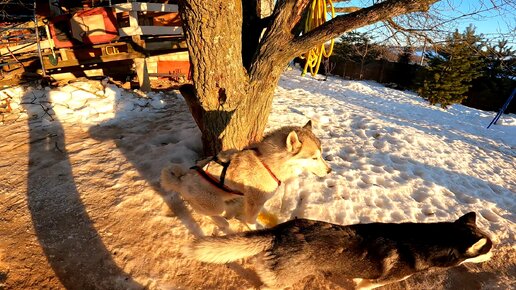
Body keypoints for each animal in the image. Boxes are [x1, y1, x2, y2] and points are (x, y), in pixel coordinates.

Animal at [160, 120, 330, 229]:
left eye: (321, 154)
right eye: (314, 158)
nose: (330, 171)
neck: (266, 163)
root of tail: (181, 180)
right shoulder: (255, 203)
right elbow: (251, 222)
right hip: (215, 204)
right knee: (204, 212)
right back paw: (222, 222)